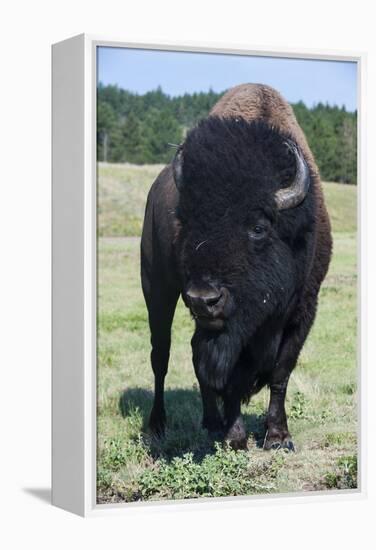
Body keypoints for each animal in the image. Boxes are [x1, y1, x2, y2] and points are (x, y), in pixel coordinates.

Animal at [141, 83, 332, 452]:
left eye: (258, 227)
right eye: (186, 222)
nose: (204, 299)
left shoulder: (304, 310)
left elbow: (281, 372)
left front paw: (278, 437)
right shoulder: (230, 331)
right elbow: (229, 375)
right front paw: (236, 438)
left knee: (193, 354)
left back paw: (211, 421)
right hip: (157, 289)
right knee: (161, 354)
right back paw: (158, 425)